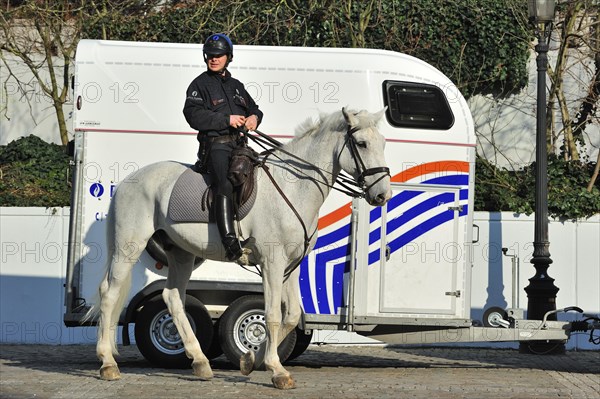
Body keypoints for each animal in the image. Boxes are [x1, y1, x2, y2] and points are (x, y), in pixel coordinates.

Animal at [89, 108, 390, 390]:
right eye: (361, 143)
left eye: (383, 143)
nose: (382, 195)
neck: (292, 188)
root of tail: (129, 180)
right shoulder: (272, 262)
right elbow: (272, 315)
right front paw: (277, 370)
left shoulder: (292, 265)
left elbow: (291, 315)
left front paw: (250, 360)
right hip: (128, 247)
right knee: (109, 294)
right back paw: (108, 364)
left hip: (181, 254)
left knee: (172, 297)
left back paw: (200, 362)